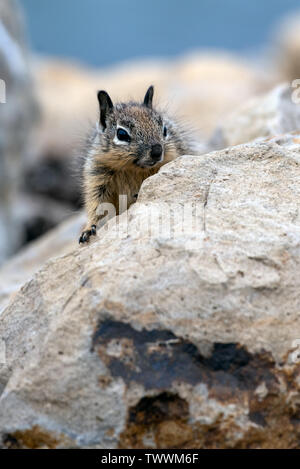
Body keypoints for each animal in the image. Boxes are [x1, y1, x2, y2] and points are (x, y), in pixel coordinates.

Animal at [78, 85, 193, 243]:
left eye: (164, 130)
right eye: (121, 134)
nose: (157, 151)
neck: (133, 168)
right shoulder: (97, 177)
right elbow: (96, 205)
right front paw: (88, 229)